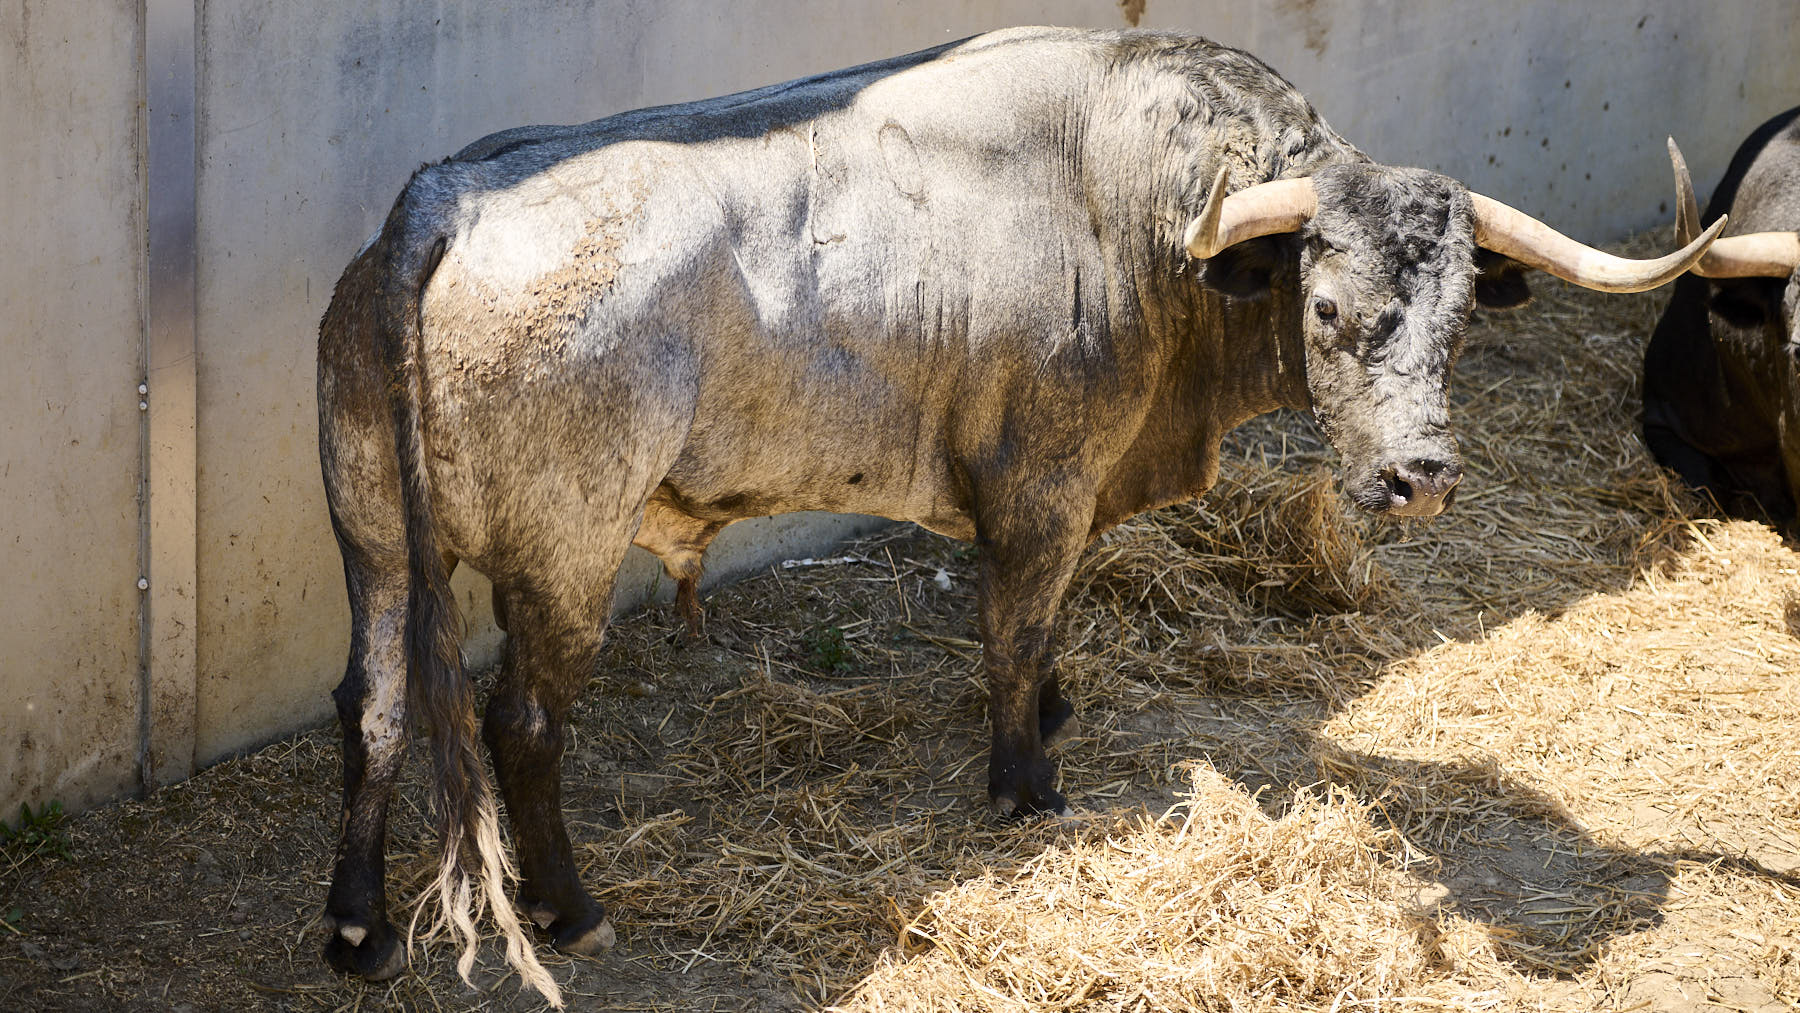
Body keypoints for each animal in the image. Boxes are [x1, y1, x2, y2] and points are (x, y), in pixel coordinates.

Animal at [316, 25, 1720, 1007]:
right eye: (1326, 308)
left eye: (1466, 316)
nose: (1420, 475)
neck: (1145, 220)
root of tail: (438, 199)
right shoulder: (1040, 485)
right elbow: (1015, 624)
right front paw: (1029, 782)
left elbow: (1049, 627)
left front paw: (1053, 714)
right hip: (564, 554)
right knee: (521, 722)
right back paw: (570, 907)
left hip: (375, 542)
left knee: (372, 702)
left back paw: (358, 927)